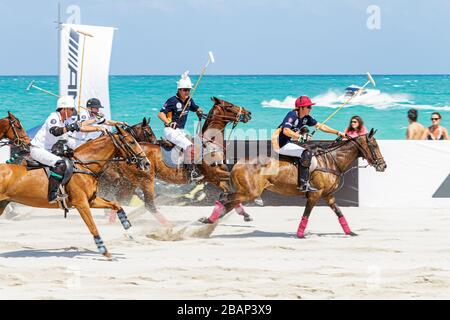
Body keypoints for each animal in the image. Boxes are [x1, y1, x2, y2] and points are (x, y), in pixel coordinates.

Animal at [0, 125, 150, 258]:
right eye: (132, 142)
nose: (147, 163)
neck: (85, 166)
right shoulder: (81, 203)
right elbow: (93, 226)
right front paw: (104, 250)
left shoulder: (91, 201)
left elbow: (116, 205)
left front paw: (129, 230)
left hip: (3, 204)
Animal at [98, 96, 253, 222]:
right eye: (229, 105)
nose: (248, 113)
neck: (210, 142)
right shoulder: (213, 174)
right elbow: (230, 189)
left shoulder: (214, 178)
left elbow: (227, 192)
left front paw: (244, 214)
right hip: (143, 179)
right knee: (143, 203)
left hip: (129, 182)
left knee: (118, 199)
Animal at [200, 129, 386, 238]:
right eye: (374, 145)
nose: (383, 166)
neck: (331, 160)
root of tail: (237, 163)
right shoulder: (315, 194)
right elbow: (306, 214)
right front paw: (300, 234)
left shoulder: (328, 195)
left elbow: (339, 213)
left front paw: (350, 232)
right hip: (250, 192)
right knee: (226, 197)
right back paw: (207, 221)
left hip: (246, 192)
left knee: (229, 201)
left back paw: (209, 222)